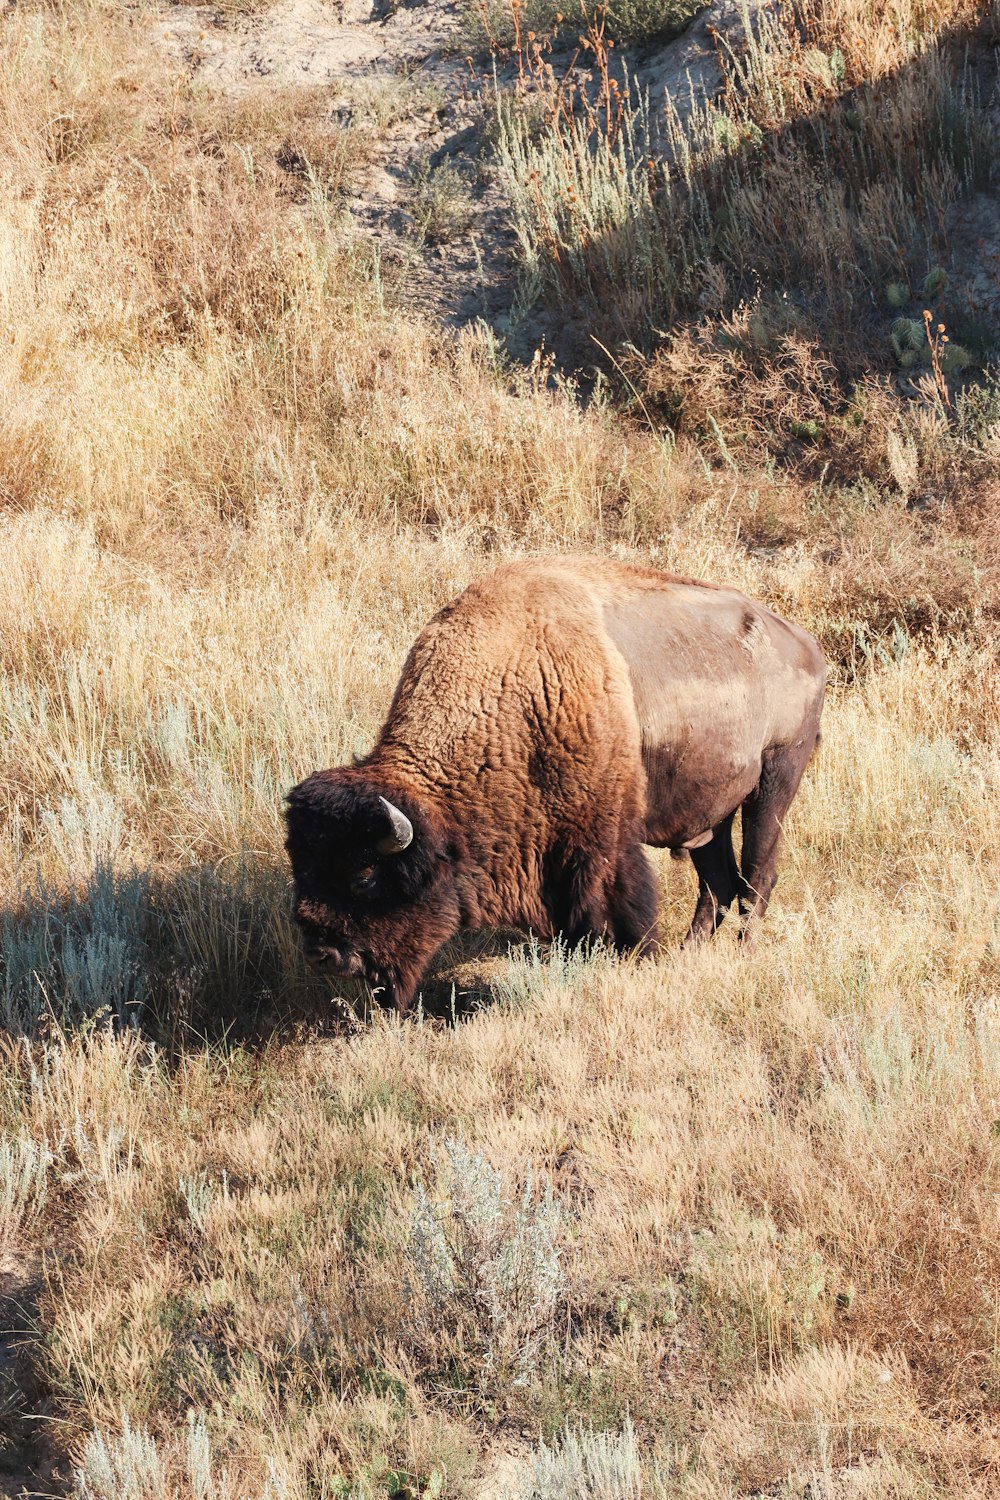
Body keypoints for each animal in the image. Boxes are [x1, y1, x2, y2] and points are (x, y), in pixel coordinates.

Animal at [284, 558, 827, 1014]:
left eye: (364, 876)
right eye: (303, 868)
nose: (322, 954)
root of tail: (805, 643)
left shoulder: (603, 844)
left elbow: (622, 909)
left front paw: (637, 960)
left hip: (775, 782)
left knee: (756, 876)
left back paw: (742, 953)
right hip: (711, 815)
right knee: (716, 883)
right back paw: (688, 956)